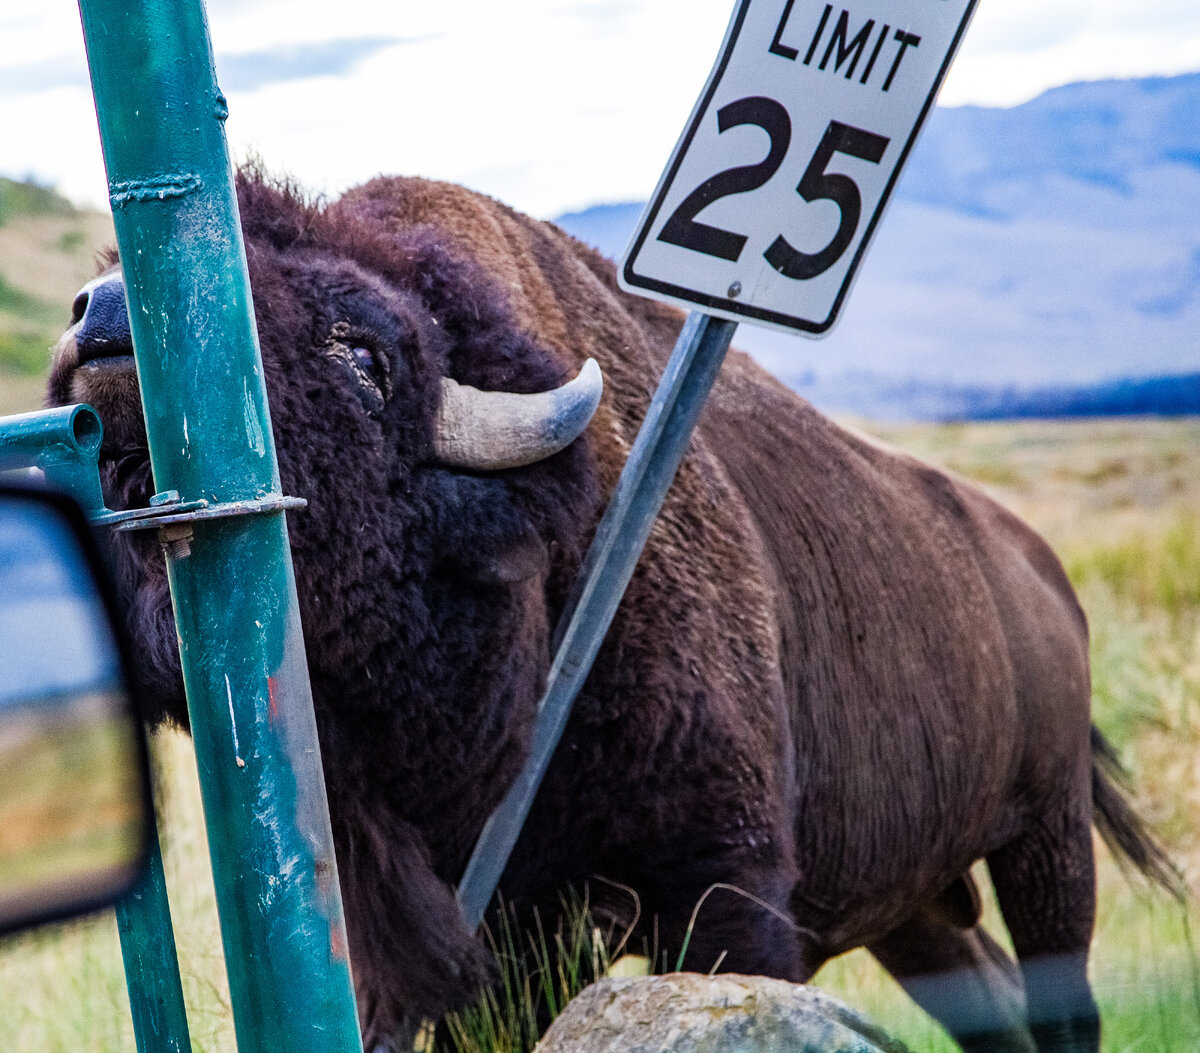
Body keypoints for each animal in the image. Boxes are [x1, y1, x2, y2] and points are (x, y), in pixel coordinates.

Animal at [49, 168, 1173, 1053]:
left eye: (364, 356)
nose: (99, 315)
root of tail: (1043, 571)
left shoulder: (724, 882)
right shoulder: (431, 934)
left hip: (1046, 840)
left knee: (1061, 997)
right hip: (920, 905)